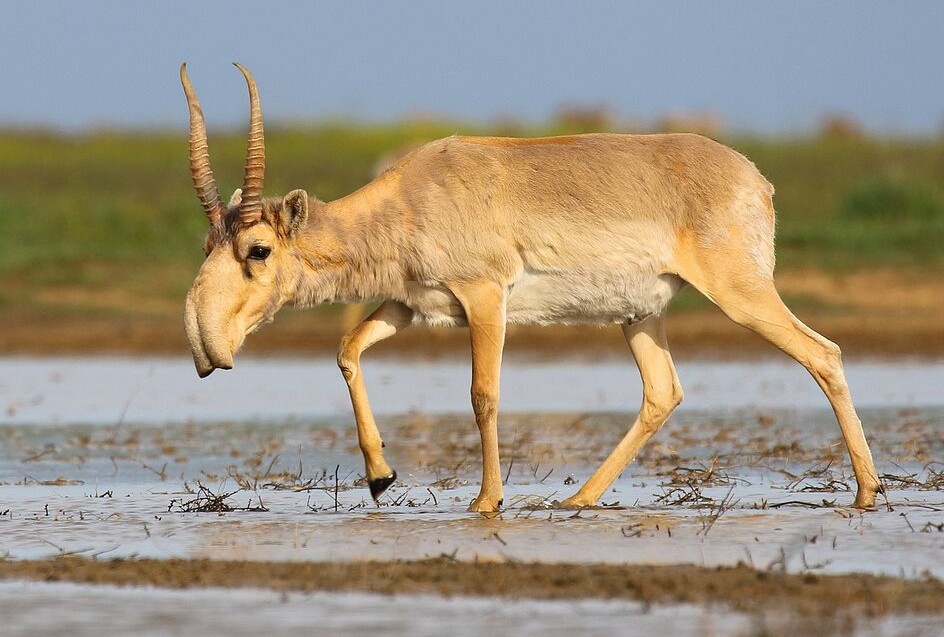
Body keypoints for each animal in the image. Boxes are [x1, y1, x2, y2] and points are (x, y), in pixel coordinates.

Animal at [181, 64, 880, 512]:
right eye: (208, 243)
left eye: (257, 249)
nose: (204, 345)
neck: (411, 195)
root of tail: (755, 178)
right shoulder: (410, 305)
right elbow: (347, 349)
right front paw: (381, 477)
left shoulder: (485, 298)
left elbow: (483, 394)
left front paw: (486, 501)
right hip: (639, 316)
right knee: (663, 392)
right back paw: (578, 498)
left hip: (741, 295)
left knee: (822, 354)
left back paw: (869, 491)